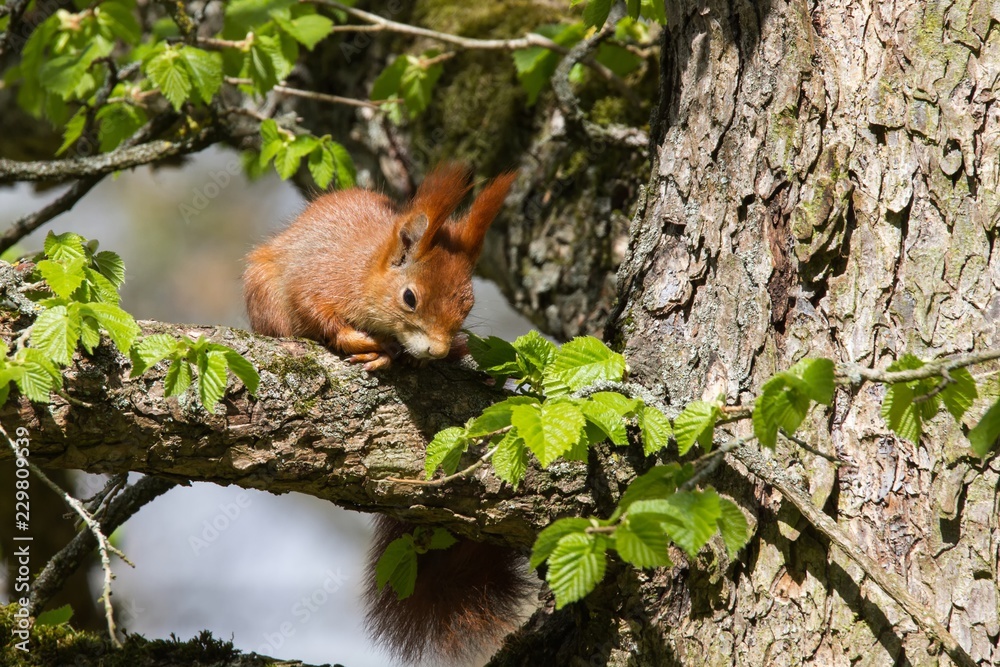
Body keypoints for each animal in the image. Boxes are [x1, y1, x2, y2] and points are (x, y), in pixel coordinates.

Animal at [243, 164, 531, 663]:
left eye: (468, 305)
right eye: (410, 298)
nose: (436, 349)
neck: (365, 270)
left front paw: (422, 357)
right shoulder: (318, 280)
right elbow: (317, 313)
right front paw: (368, 345)